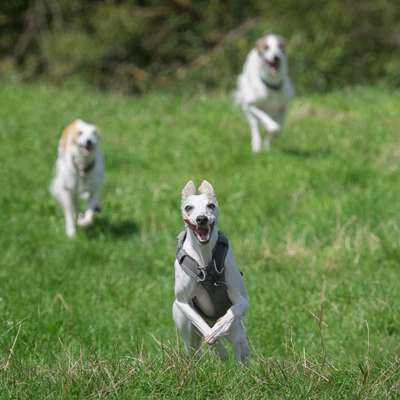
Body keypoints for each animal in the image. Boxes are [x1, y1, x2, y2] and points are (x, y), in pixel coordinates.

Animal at [173, 181, 248, 362]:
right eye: (188, 207)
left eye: (211, 205)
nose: (202, 219)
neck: (204, 256)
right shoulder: (182, 302)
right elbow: (202, 326)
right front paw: (217, 345)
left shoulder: (241, 299)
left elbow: (233, 312)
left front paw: (219, 328)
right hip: (185, 327)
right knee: (193, 347)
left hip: (240, 338)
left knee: (241, 351)